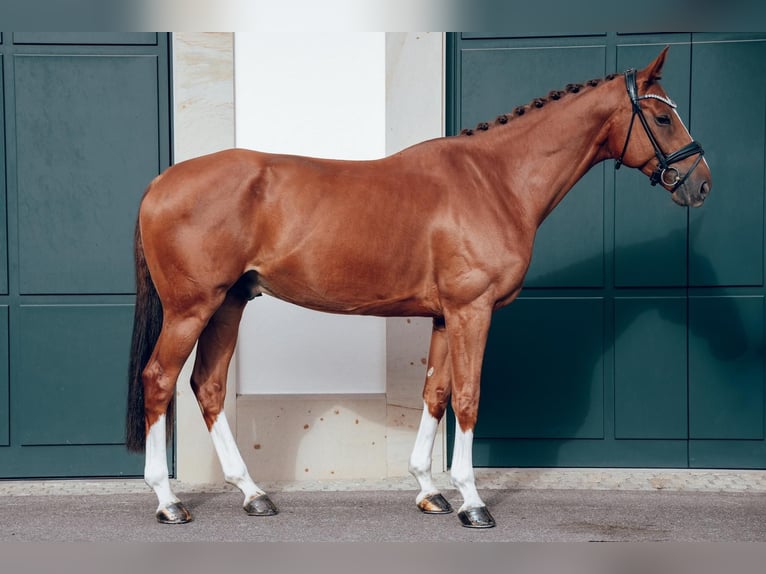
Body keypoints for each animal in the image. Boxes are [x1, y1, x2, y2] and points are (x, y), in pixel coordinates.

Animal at [127, 49, 712, 532]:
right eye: (663, 117)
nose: (701, 182)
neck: (495, 180)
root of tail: (160, 183)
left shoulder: (444, 315)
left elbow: (436, 393)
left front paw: (430, 492)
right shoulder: (472, 310)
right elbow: (469, 397)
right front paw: (473, 502)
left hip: (229, 303)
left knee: (208, 386)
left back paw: (253, 494)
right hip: (191, 307)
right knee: (159, 380)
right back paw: (168, 502)